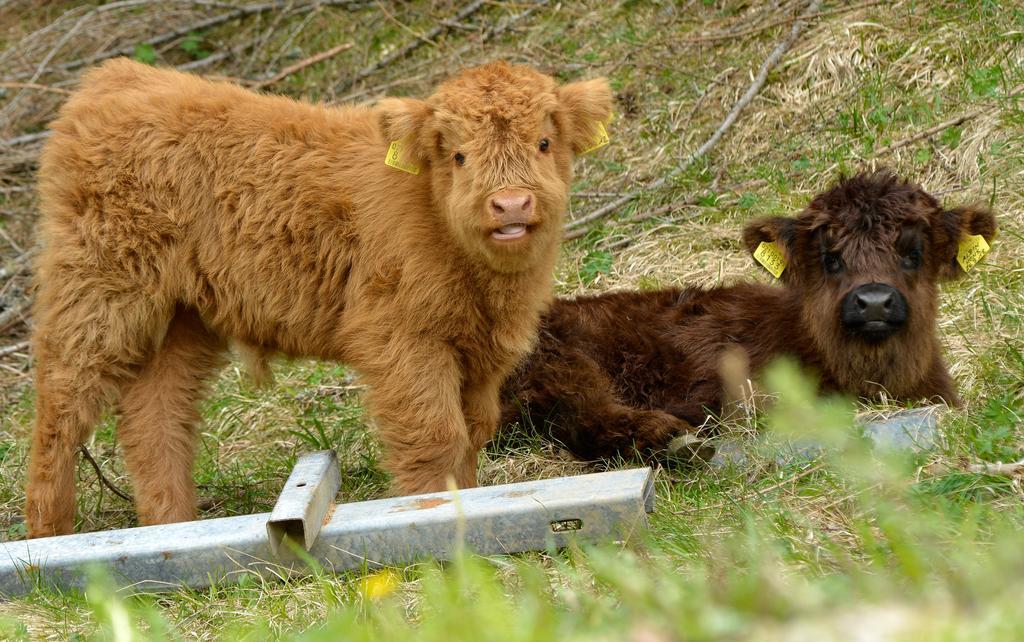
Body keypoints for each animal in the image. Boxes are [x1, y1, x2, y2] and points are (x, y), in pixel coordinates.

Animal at [28, 59, 610, 536]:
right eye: (460, 156)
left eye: (544, 143)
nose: (510, 204)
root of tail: (113, 80)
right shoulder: (402, 342)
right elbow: (434, 436)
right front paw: (433, 515)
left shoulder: (482, 354)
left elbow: (472, 432)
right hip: (100, 293)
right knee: (61, 401)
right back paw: (46, 537)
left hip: (181, 318)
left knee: (157, 419)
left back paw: (171, 526)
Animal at [499, 170, 995, 462]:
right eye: (830, 258)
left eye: (913, 253)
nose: (873, 301)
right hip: (562, 364)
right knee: (583, 414)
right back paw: (674, 438)